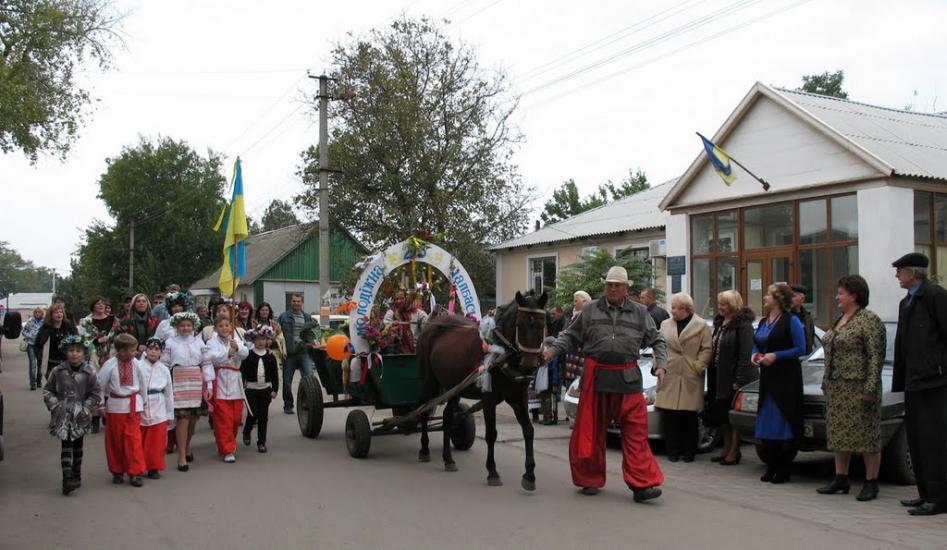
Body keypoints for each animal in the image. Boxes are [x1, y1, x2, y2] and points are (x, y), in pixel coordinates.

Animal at [416, 292, 548, 494]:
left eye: (542, 324)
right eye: (520, 324)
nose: (529, 366)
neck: (502, 353)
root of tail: (432, 323)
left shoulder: (519, 398)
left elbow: (528, 431)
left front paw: (529, 475)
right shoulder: (489, 399)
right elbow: (491, 434)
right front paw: (492, 472)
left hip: (455, 386)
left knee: (447, 416)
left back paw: (448, 458)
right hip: (429, 381)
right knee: (424, 410)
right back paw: (424, 449)